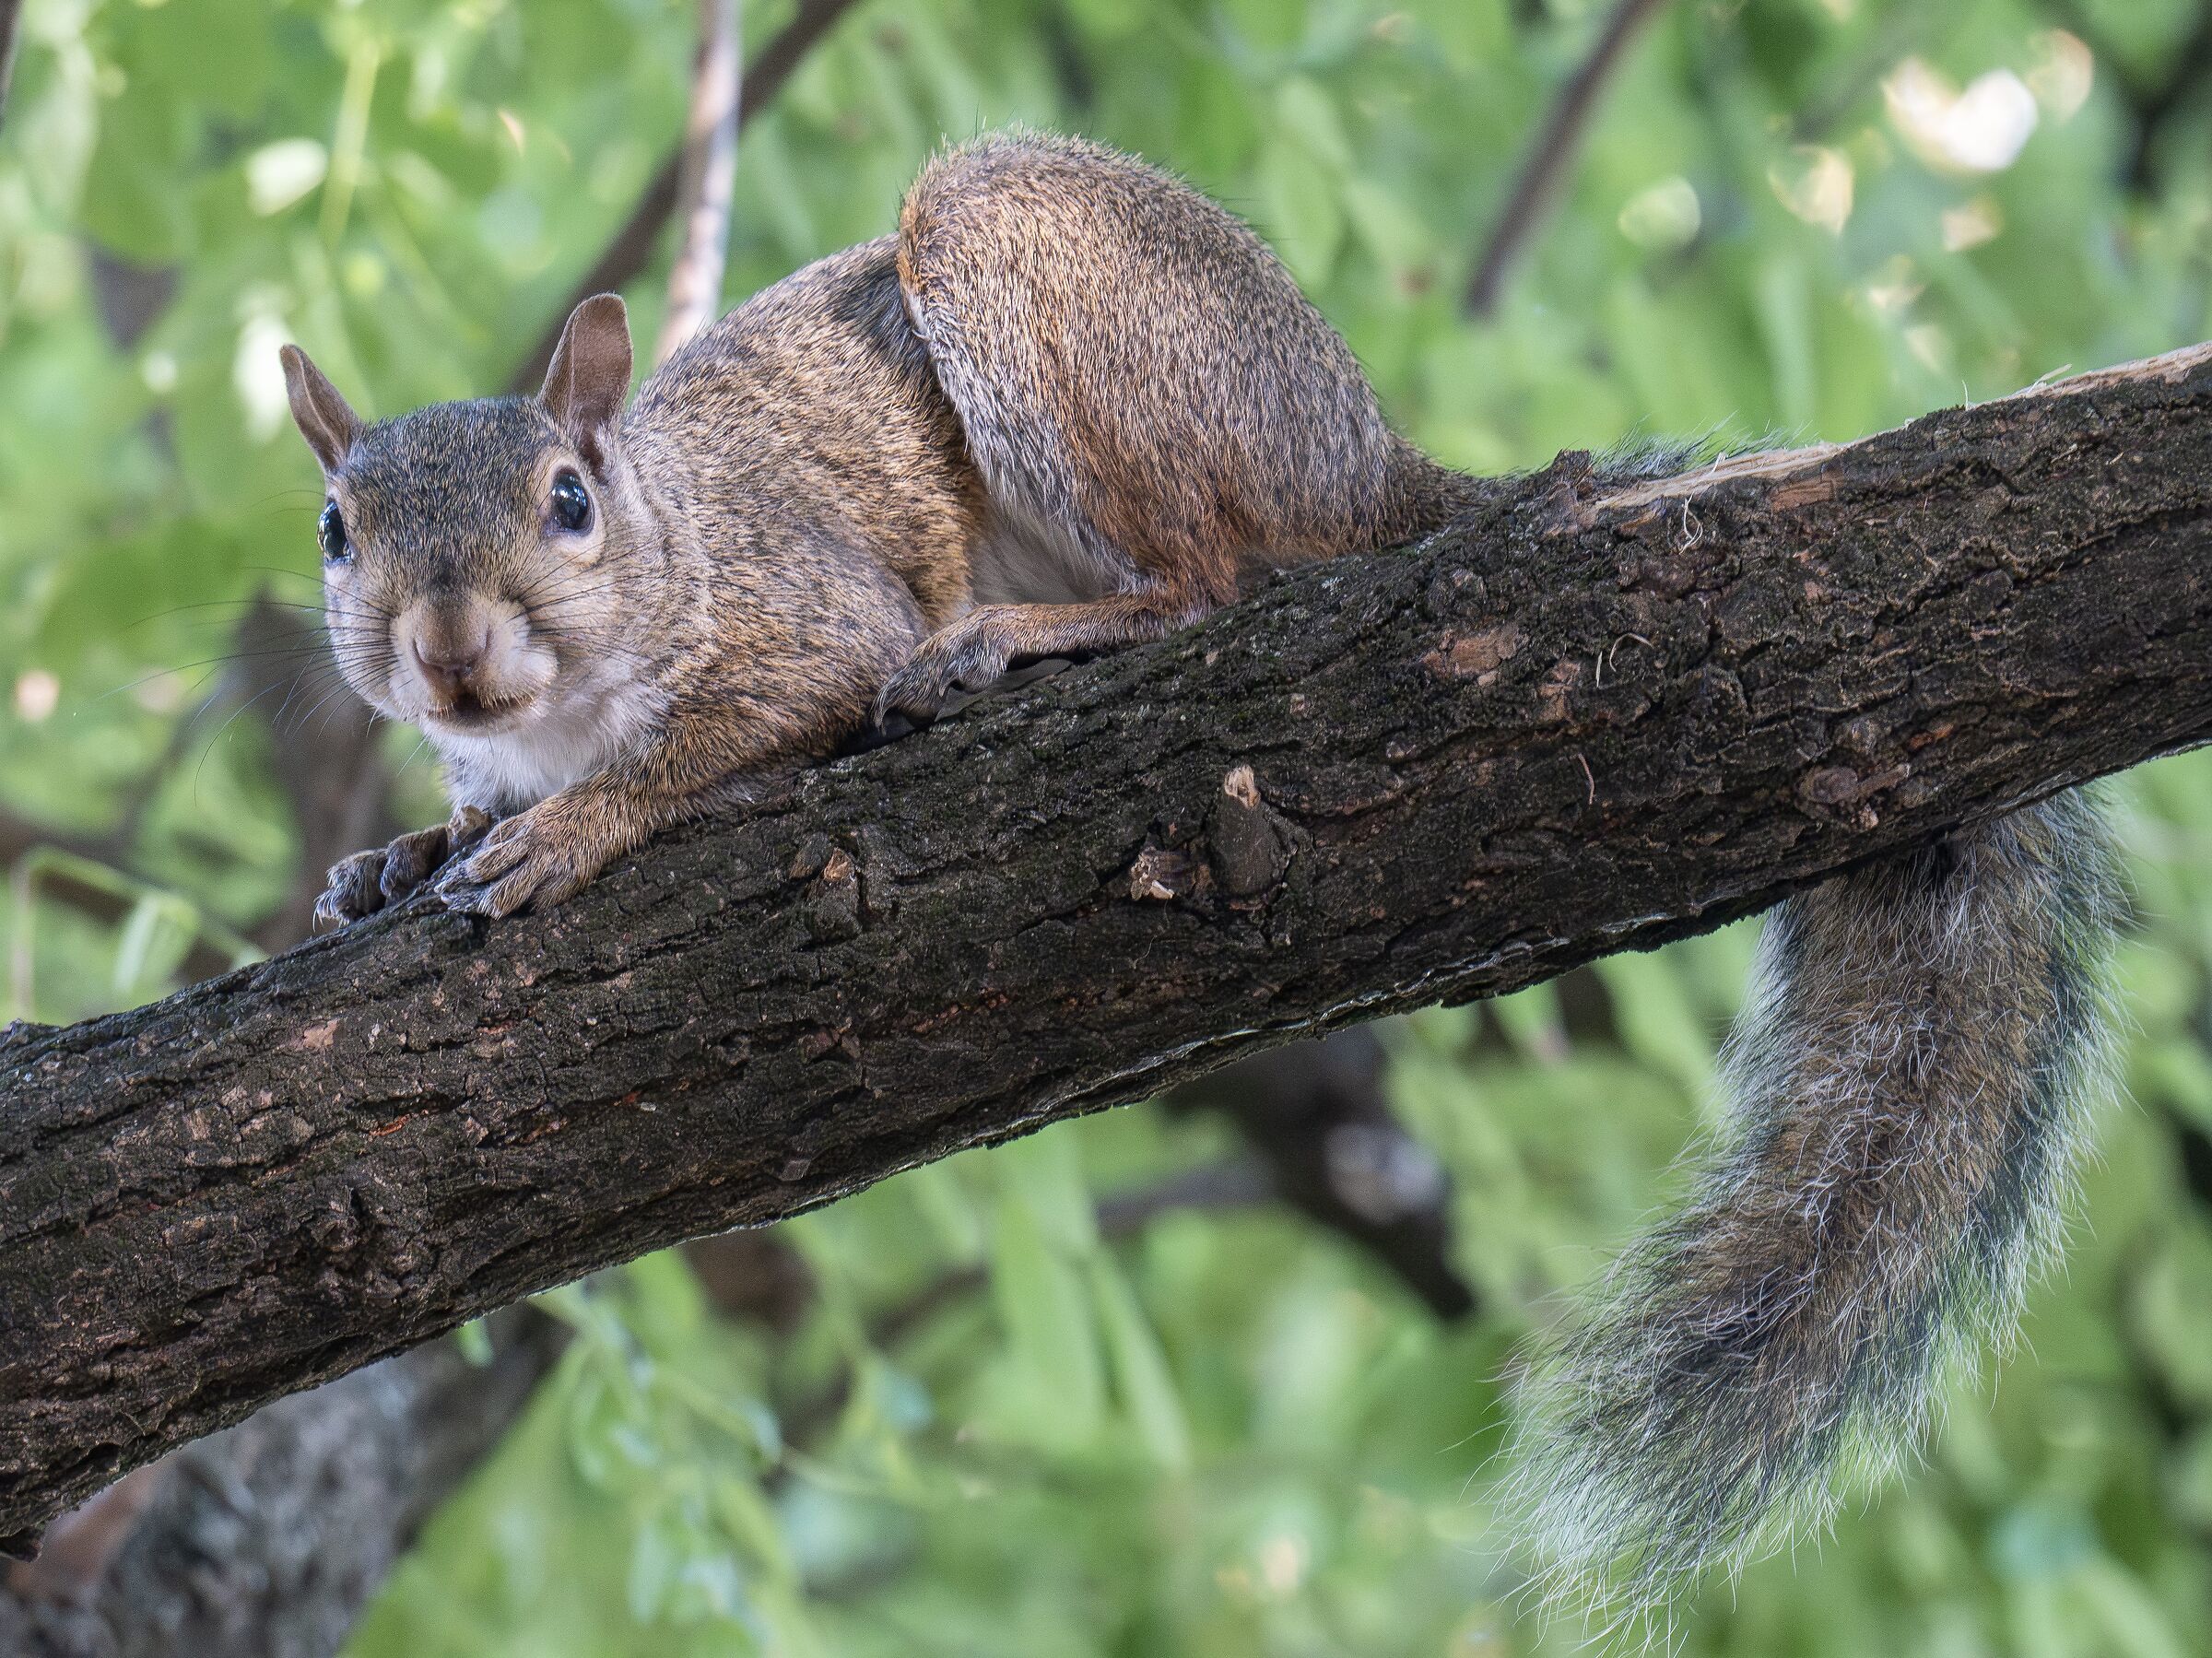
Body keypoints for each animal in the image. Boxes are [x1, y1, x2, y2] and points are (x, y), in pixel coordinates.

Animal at [280, 131, 2122, 1616]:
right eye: (333, 530)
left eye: (568, 501)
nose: (448, 656)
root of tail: (1365, 453)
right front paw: (395, 852)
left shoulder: (808, 621)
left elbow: (726, 736)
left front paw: (566, 833)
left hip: (1036, 289)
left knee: (1209, 578)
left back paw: (1016, 637)